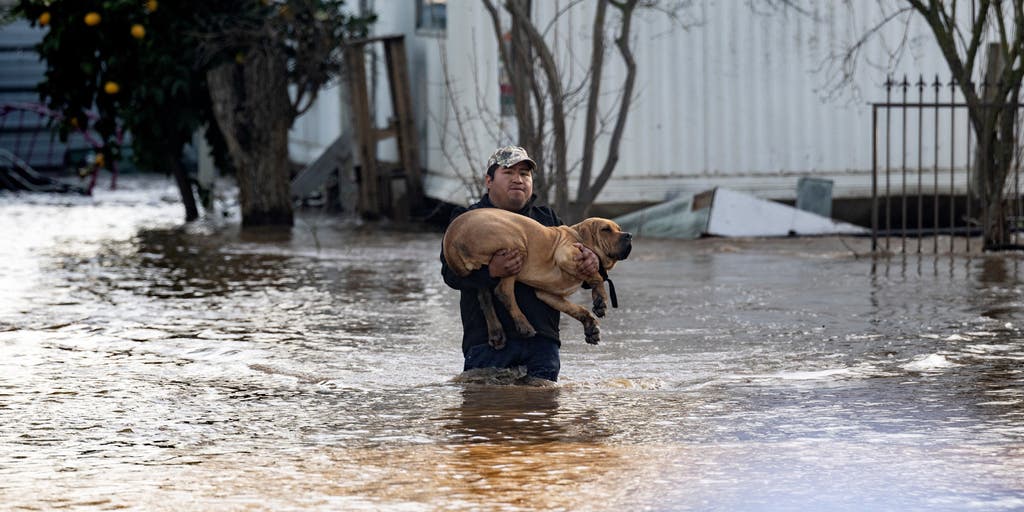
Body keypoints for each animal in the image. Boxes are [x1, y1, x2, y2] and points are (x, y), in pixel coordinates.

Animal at [442, 207, 630, 348]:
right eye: (605, 230)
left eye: (619, 229)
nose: (629, 235)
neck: (577, 235)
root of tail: (451, 235)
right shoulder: (566, 254)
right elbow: (595, 275)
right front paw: (600, 300)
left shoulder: (548, 294)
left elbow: (577, 308)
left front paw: (590, 327)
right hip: (516, 247)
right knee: (503, 292)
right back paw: (524, 326)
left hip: (484, 274)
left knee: (485, 298)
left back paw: (497, 333)